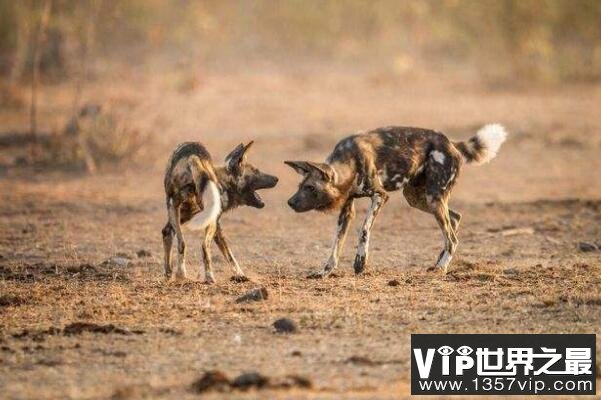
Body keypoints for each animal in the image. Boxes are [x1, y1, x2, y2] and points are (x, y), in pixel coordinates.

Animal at [163, 142, 278, 282]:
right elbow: (229, 254)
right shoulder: (215, 223)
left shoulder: (190, 216)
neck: (224, 183)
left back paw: (177, 274)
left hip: (174, 208)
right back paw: (208, 277)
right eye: (256, 171)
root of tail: (193, 156)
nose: (276, 178)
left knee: (177, 240)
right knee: (204, 246)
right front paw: (240, 275)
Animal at [286, 123, 506, 276]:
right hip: (417, 198)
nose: (290, 202)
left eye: (310, 187)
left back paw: (441, 268)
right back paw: (438, 262)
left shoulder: (380, 196)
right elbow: (336, 244)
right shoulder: (347, 210)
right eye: (300, 186)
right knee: (455, 218)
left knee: (452, 237)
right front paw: (325, 271)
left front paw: (360, 262)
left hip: (433, 199)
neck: (348, 164)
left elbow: (364, 229)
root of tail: (450, 143)